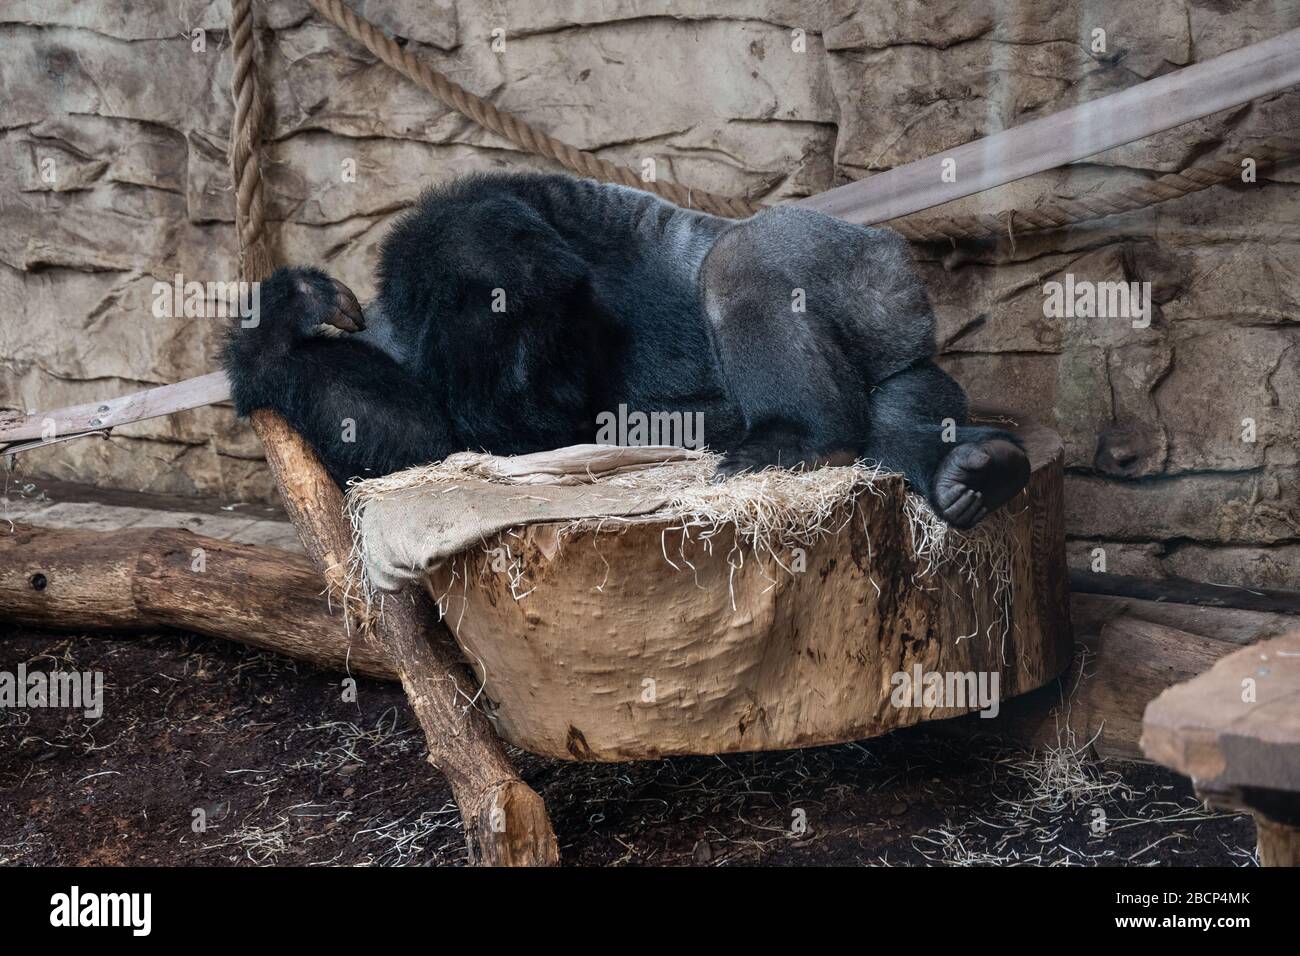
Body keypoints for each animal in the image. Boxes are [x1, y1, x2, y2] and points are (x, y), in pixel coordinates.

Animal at [228, 172, 1029, 530]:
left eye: (550, 341)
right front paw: (281, 325)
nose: (544, 394)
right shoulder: (418, 339)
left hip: (871, 275)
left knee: (744, 252)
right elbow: (415, 435)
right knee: (908, 396)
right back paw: (962, 466)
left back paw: (803, 438)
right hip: (897, 323)